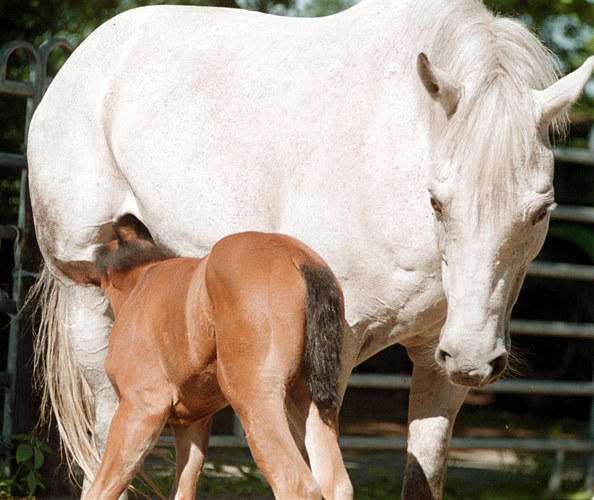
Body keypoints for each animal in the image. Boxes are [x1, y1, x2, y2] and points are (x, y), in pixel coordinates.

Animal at [26, 0, 588, 498]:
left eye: (541, 210)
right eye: (436, 200)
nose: (473, 356)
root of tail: (81, 59)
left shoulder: (437, 364)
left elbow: (420, 479)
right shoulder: (334, 361)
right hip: (93, 320)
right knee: (106, 444)